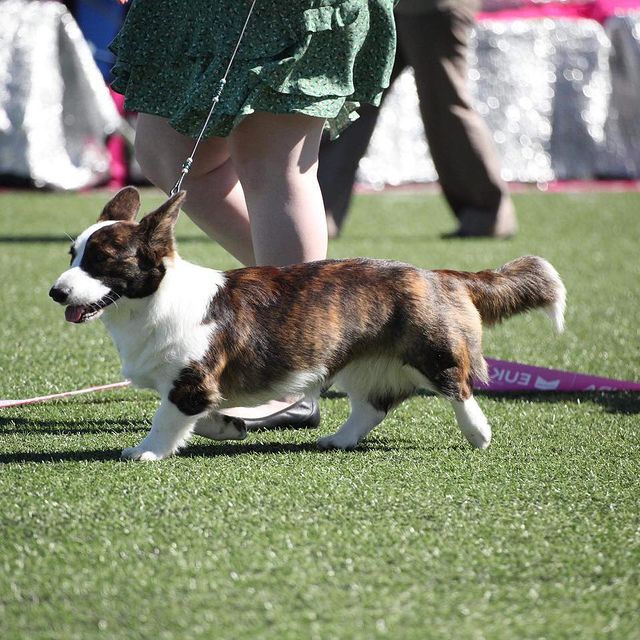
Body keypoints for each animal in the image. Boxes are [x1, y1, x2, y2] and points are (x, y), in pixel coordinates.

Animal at [48, 188, 564, 462]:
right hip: (359, 361)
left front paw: (146, 451)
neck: (152, 301)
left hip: (431, 350)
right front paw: (228, 427)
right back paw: (338, 439)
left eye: (101, 260)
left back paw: (478, 434)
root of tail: (441, 275)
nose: (56, 292)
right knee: (373, 406)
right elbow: (201, 414)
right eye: (72, 255)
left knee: (458, 385)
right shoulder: (192, 387)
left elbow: (165, 419)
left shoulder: (190, 380)